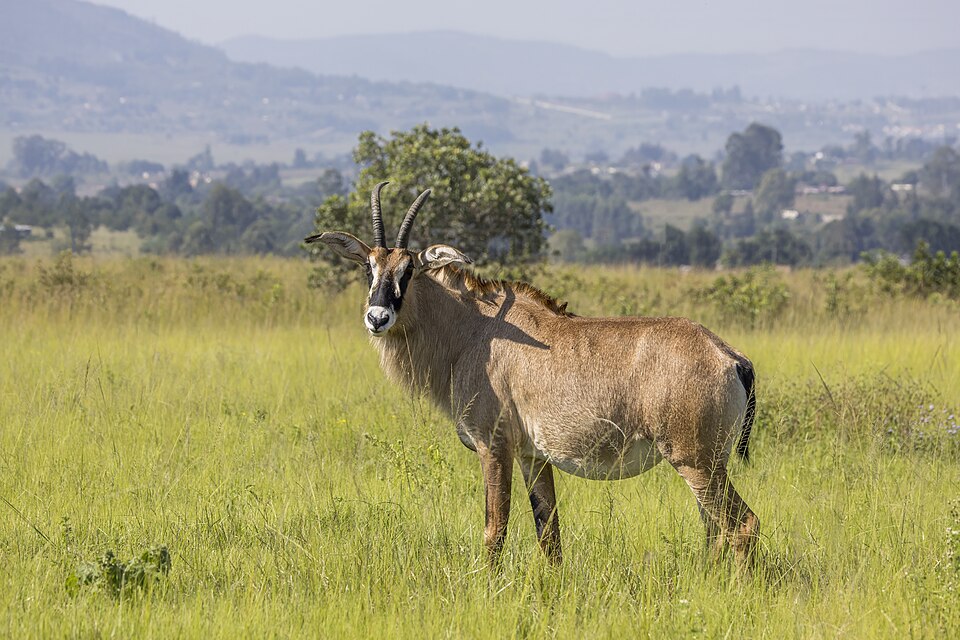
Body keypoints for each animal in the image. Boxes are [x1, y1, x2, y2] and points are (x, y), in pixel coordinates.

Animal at [306, 183, 760, 565]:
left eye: (409, 269)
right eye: (368, 268)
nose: (377, 317)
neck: (475, 330)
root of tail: (731, 357)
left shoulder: (494, 447)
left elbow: (495, 530)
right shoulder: (533, 458)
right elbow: (549, 536)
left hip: (696, 462)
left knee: (742, 525)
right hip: (704, 465)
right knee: (714, 530)